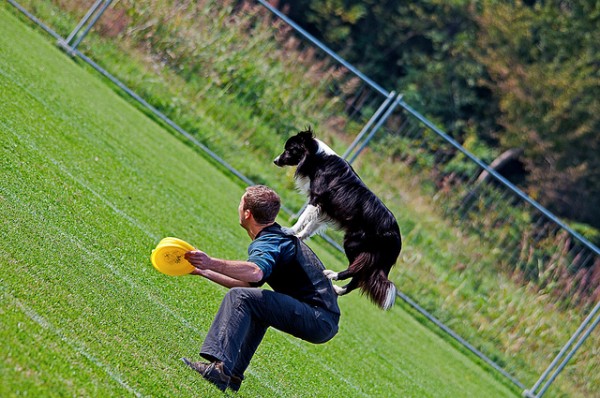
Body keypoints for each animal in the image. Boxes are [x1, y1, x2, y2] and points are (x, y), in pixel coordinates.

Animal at [274, 127, 400, 310]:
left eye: (289, 149)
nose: (275, 161)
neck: (318, 158)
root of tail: (396, 237)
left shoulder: (316, 199)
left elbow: (302, 219)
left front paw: (289, 231)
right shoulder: (323, 210)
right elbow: (310, 227)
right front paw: (299, 237)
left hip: (354, 243)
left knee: (356, 272)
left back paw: (333, 275)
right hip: (372, 257)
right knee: (359, 279)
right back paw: (339, 289)